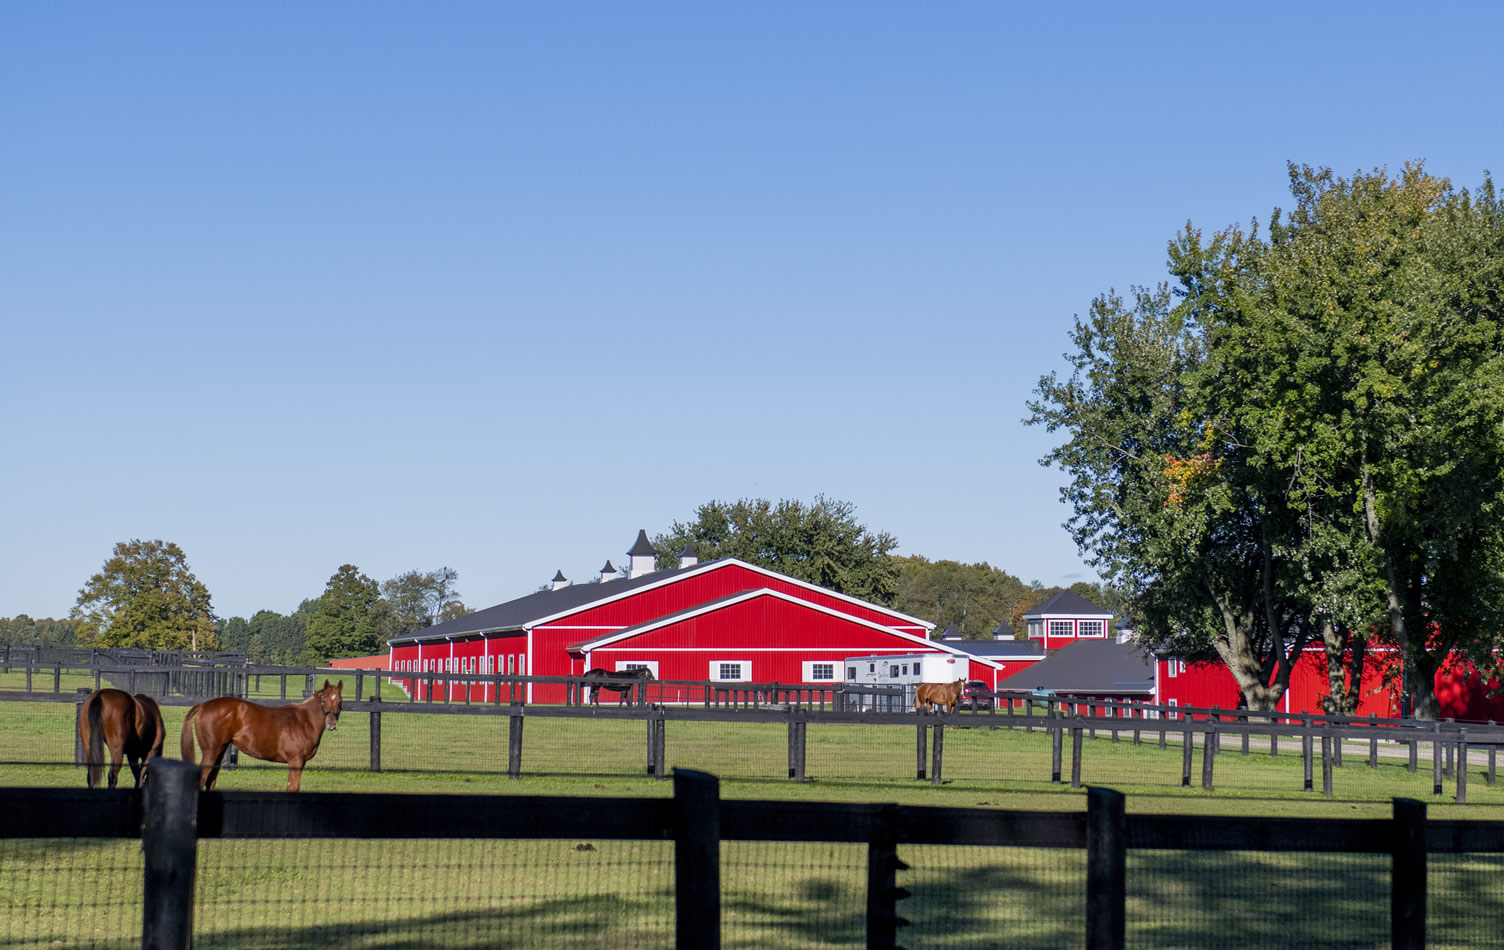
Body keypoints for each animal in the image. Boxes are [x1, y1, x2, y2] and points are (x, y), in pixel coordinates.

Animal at [181, 679, 344, 787]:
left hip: (219, 751)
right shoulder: (295, 761)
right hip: (210, 752)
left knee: (211, 780)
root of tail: (203, 705)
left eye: (340, 701)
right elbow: (293, 787)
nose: (331, 723)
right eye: (324, 700)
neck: (304, 720)